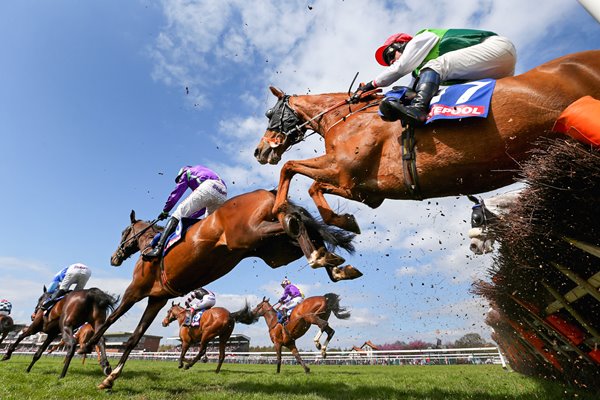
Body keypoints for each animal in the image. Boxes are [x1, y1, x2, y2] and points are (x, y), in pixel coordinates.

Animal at [79, 189, 356, 390]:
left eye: (124, 232)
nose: (114, 257)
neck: (150, 243)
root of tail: (268, 192)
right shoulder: (157, 299)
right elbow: (135, 337)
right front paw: (110, 377)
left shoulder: (136, 290)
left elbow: (111, 320)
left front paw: (89, 346)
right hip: (274, 251)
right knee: (307, 231)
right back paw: (333, 264)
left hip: (251, 233)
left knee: (293, 221)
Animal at [253, 49, 600, 234]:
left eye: (270, 113)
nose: (260, 150)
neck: (347, 117)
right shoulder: (365, 190)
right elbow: (311, 183)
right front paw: (342, 219)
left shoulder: (344, 169)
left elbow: (291, 167)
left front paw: (284, 210)